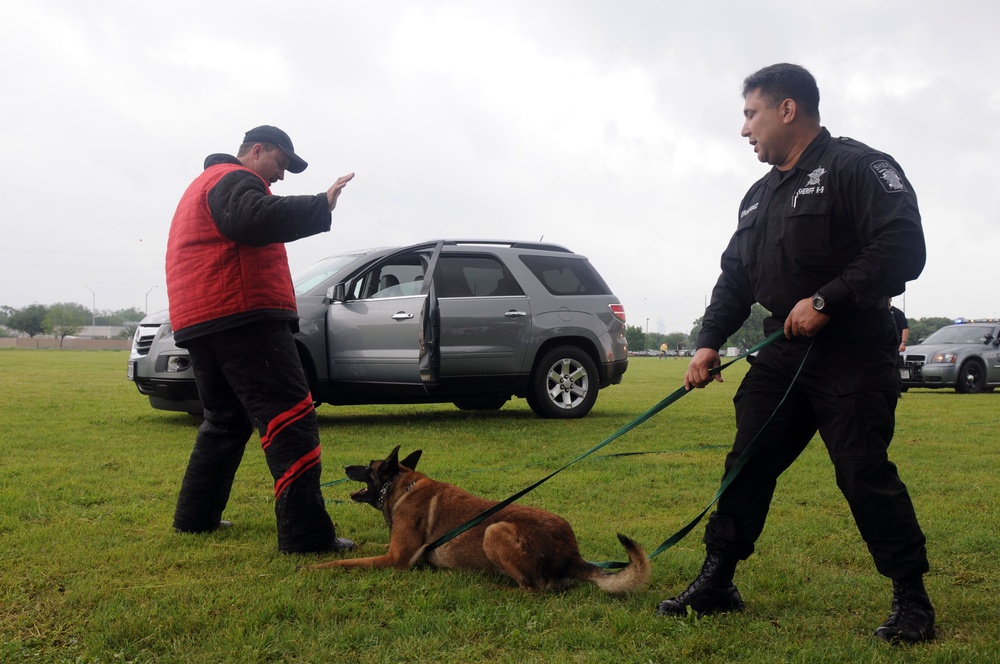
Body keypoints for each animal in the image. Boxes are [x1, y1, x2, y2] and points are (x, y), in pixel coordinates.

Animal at [300, 446, 652, 592]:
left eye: (367, 466)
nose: (345, 467)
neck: (401, 486)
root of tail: (572, 554)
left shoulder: (394, 559)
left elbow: (344, 563)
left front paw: (314, 566)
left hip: (494, 531)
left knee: (535, 588)